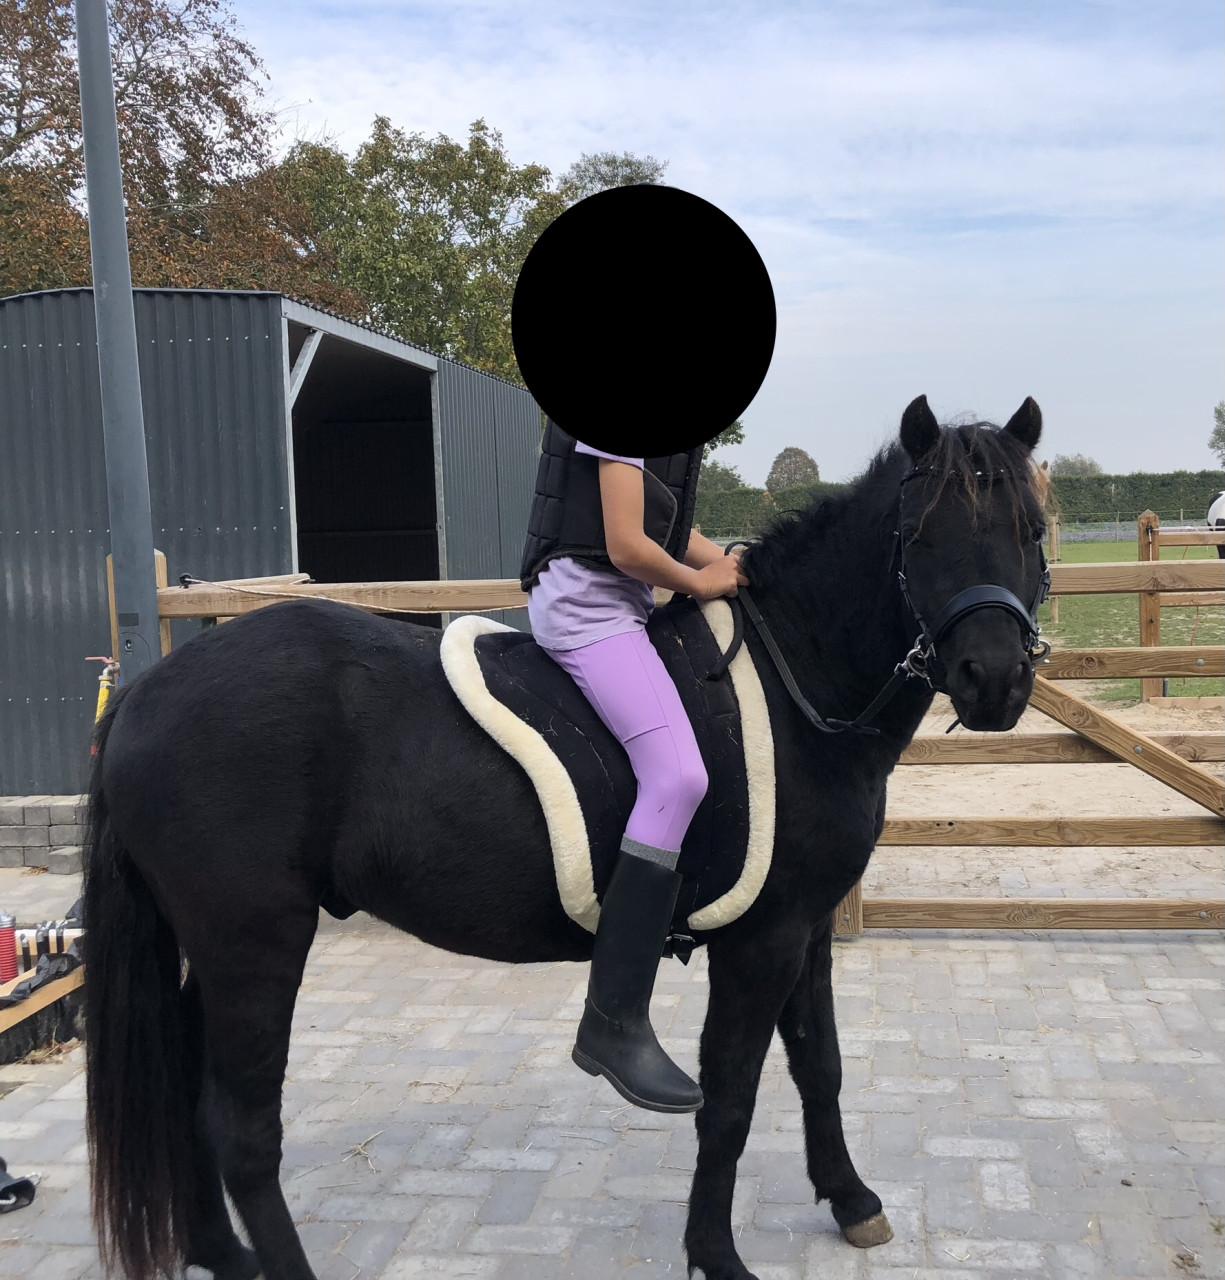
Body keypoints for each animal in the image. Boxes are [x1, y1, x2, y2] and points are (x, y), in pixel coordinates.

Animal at [83, 394, 1049, 1280]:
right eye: (917, 538)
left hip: (214, 949)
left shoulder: (805, 931)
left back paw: (221, 1253)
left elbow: (822, 1067)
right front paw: (717, 1256)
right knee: (243, 1130)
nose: (994, 680)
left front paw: (851, 1201)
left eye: (1032, 528)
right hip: (256, 944)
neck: (793, 684)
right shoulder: (760, 941)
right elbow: (730, 1097)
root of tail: (148, 688)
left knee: (182, 1089)